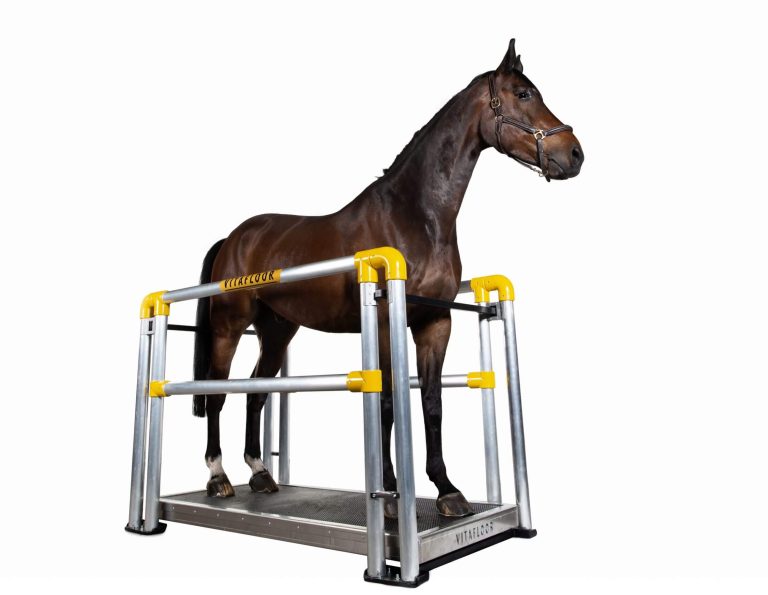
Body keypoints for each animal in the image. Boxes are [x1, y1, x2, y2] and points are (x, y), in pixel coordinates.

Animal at [192, 39, 583, 518]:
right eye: (524, 94)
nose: (575, 154)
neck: (414, 217)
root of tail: (235, 236)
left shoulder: (435, 324)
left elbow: (431, 403)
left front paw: (447, 490)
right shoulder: (381, 324)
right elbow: (388, 403)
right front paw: (393, 494)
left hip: (277, 331)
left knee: (255, 392)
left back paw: (261, 474)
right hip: (228, 326)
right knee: (216, 393)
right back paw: (218, 477)